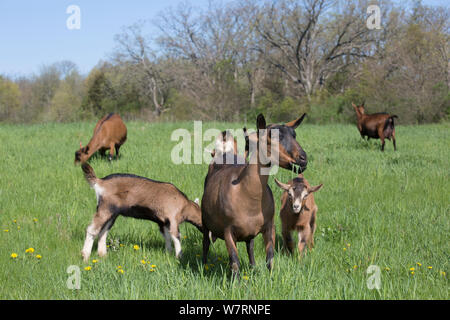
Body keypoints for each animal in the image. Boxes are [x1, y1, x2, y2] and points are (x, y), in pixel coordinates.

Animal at [201, 112, 310, 276]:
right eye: (271, 137)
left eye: (294, 134)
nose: (303, 158)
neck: (246, 193)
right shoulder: (228, 231)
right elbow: (235, 262)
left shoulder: (269, 227)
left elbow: (270, 258)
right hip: (205, 220)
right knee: (206, 243)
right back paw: (203, 266)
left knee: (250, 246)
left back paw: (252, 266)